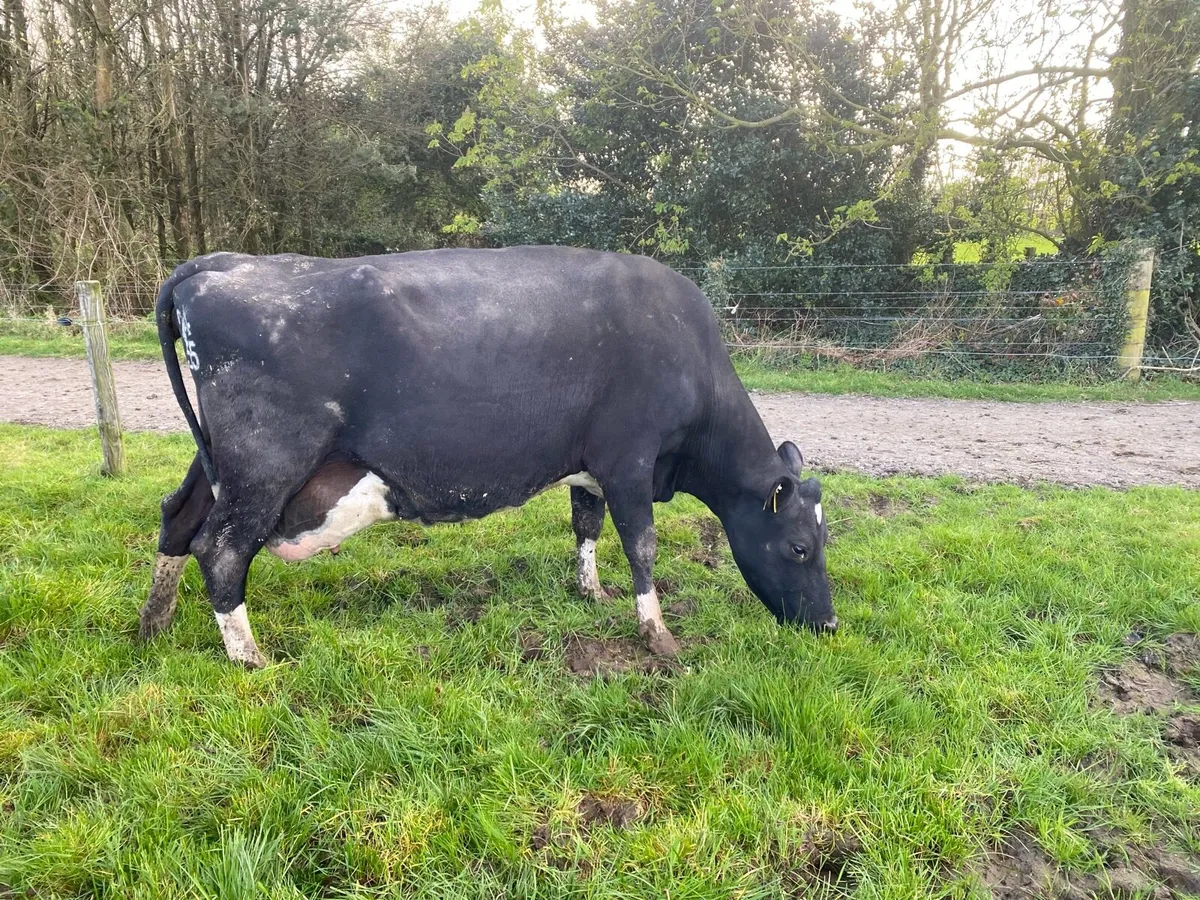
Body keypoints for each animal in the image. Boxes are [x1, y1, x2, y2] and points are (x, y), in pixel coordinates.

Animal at [140, 247, 834, 668]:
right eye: (800, 546)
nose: (829, 626)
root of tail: (222, 266)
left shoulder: (588, 465)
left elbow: (586, 525)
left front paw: (591, 591)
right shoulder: (630, 461)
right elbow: (642, 545)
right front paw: (656, 633)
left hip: (220, 461)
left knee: (178, 518)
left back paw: (153, 623)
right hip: (265, 461)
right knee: (220, 548)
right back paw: (249, 657)